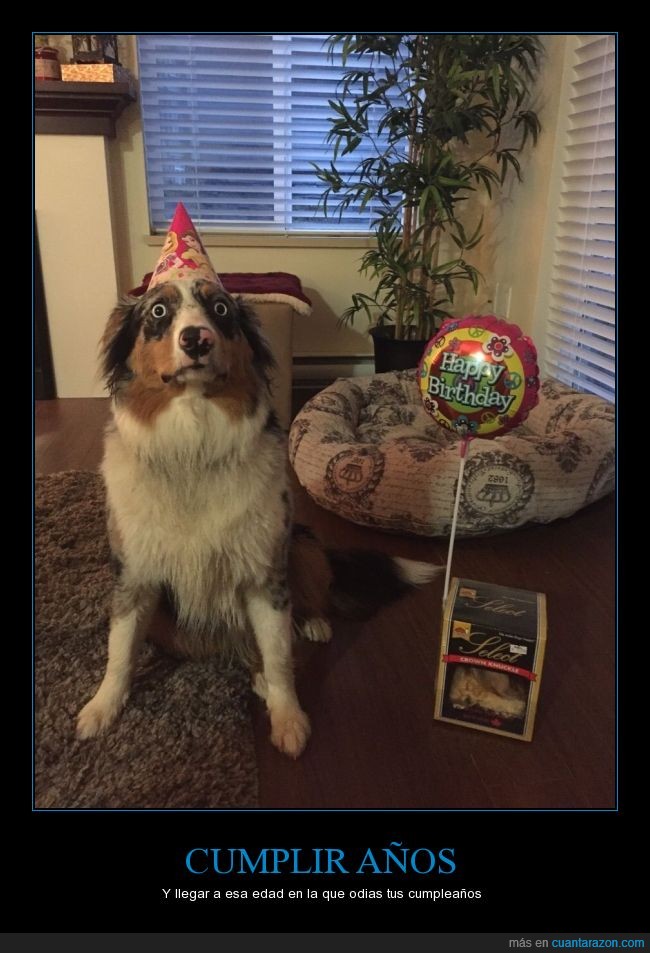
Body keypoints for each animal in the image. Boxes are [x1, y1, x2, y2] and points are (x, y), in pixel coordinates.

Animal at [76, 278, 439, 757]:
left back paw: (311, 625)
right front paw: (102, 707)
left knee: (306, 600)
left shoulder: (264, 574)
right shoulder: (134, 575)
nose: (197, 339)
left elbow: (278, 653)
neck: (193, 450)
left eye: (220, 309)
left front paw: (288, 718)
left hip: (301, 542)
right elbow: (120, 648)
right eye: (157, 311)